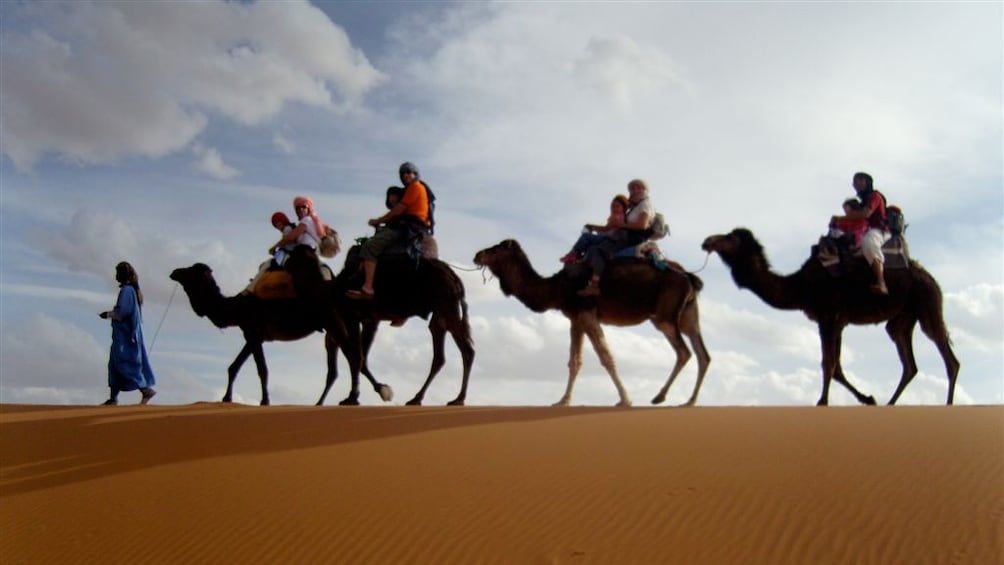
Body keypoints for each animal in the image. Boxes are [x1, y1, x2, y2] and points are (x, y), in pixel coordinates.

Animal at [166, 264, 389, 407]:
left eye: (190, 271)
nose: (174, 272)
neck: (235, 308)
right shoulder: (253, 335)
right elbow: (233, 367)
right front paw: (226, 398)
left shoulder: (252, 332)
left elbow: (262, 369)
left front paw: (265, 401)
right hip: (335, 329)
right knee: (344, 364)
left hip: (335, 323)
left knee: (353, 357)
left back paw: (369, 394)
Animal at [281, 243, 471, 407]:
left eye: (291, 257)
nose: (282, 266)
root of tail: (455, 278)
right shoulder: (368, 320)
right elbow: (360, 357)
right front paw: (379, 390)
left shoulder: (352, 316)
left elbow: (355, 356)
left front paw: (355, 397)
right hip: (441, 313)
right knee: (440, 354)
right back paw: (418, 398)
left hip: (446, 304)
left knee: (466, 350)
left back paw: (457, 399)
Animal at [473, 238, 710, 407]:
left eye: (497, 248)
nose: (477, 254)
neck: (557, 289)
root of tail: (690, 278)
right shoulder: (575, 319)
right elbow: (575, 361)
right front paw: (563, 401)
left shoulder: (587, 313)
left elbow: (606, 357)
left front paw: (625, 399)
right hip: (688, 315)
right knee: (702, 354)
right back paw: (689, 401)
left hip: (664, 317)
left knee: (684, 352)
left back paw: (660, 397)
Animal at [702, 227, 959, 405]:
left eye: (730, 237)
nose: (707, 241)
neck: (800, 286)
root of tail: (931, 279)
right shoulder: (837, 322)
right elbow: (837, 368)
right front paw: (868, 399)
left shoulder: (828, 316)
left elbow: (828, 364)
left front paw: (823, 402)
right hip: (902, 318)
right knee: (909, 363)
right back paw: (889, 403)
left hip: (928, 303)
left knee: (948, 358)